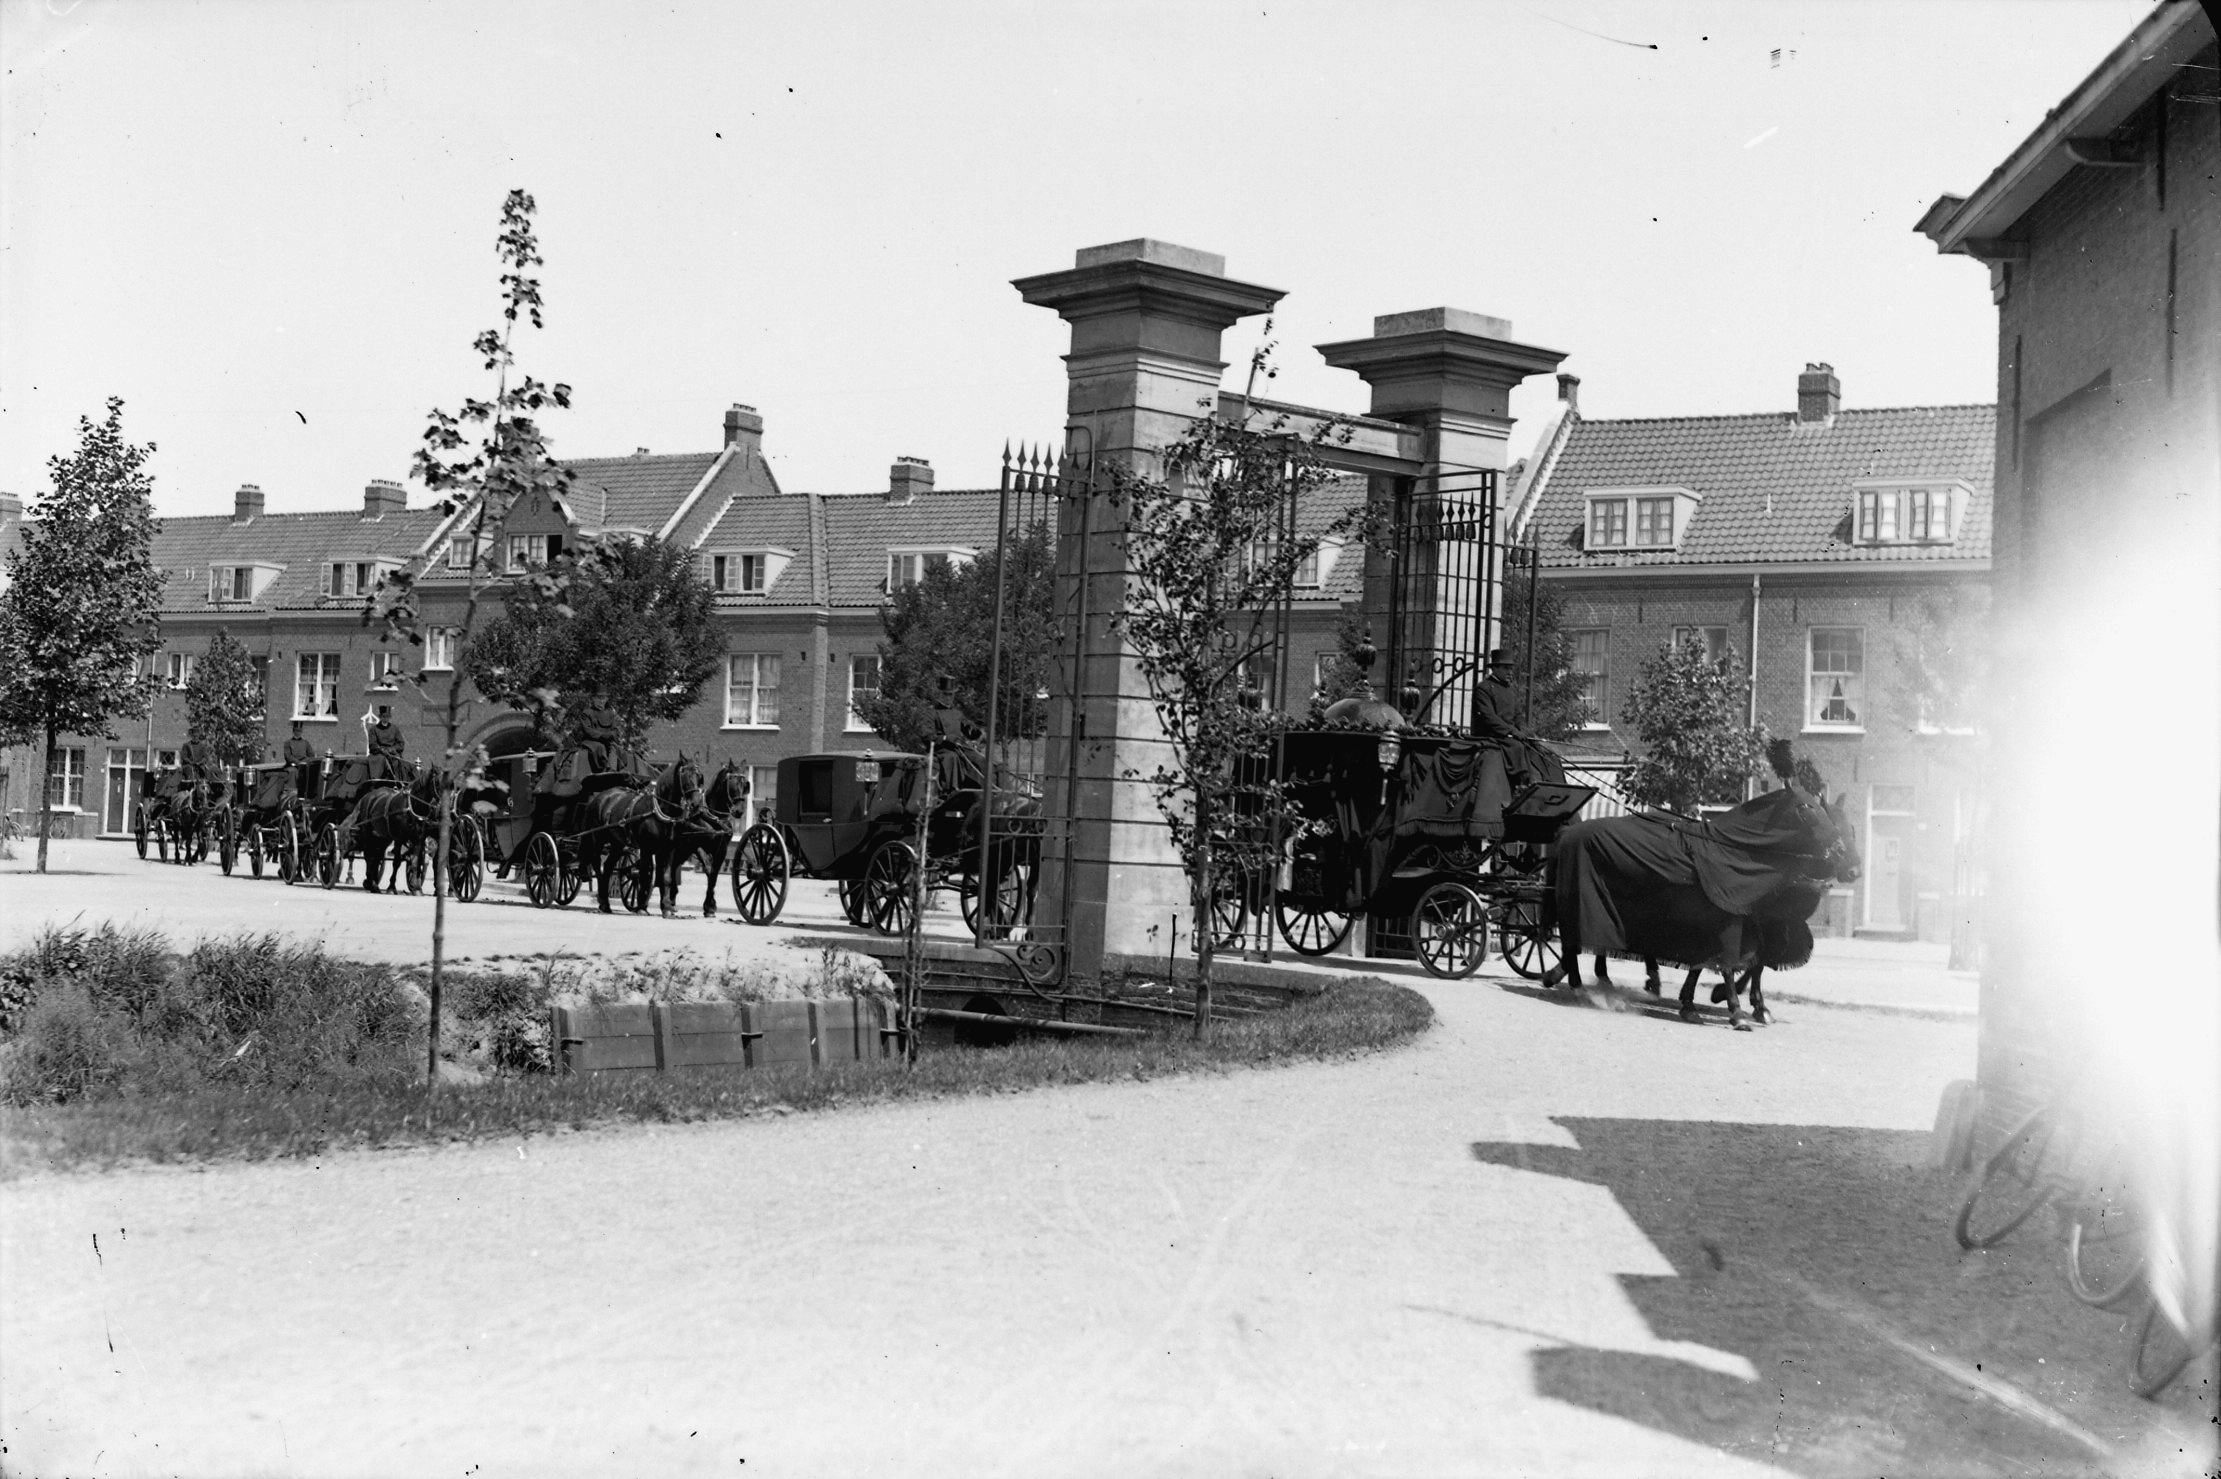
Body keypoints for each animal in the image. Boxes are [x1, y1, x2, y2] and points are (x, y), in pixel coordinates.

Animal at [1545, 753, 1860, 1031]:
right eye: (1807, 808)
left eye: (1851, 827)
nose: (1852, 868)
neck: (1733, 849)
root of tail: (1568, 833)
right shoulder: (1734, 919)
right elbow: (1733, 962)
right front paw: (1735, 1008)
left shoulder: (1750, 920)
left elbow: (1735, 961)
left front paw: (1700, 1004)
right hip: (1584, 896)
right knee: (1577, 938)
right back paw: (1577, 985)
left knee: (1592, 940)